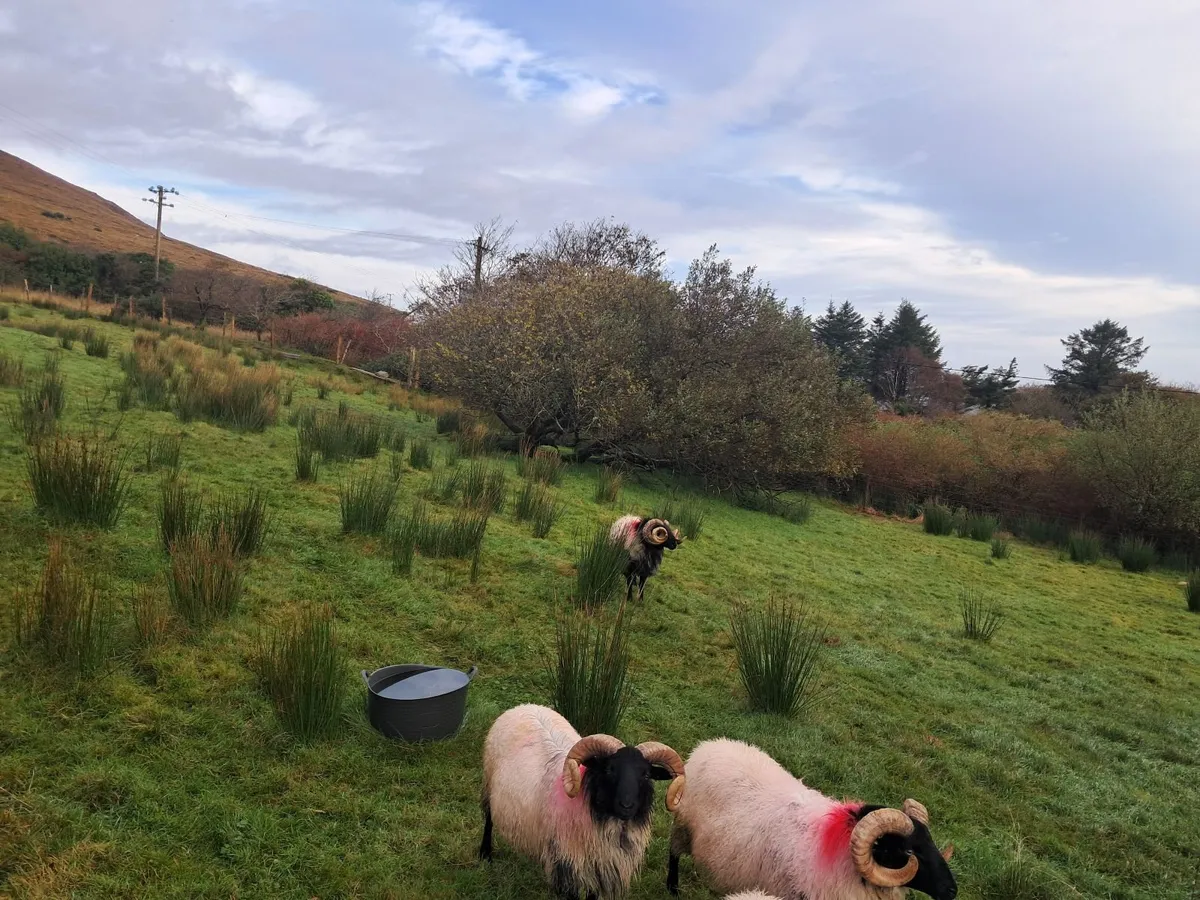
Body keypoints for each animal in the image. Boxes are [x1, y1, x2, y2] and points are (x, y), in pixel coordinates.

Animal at [480, 703, 687, 899]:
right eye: (609, 770)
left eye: (646, 774)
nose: (626, 806)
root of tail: (525, 706)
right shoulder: (566, 864)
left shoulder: (599, 870)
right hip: (489, 781)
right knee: (488, 819)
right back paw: (485, 855)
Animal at [667, 739, 957, 900]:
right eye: (909, 851)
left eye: (931, 841)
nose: (952, 891)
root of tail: (710, 745)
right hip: (683, 825)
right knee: (674, 854)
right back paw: (672, 889)